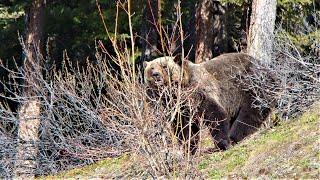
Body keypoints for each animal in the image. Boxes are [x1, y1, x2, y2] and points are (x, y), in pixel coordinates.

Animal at [144, 52, 272, 153]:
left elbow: (215, 114)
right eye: (151, 68)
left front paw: (223, 143)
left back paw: (234, 137)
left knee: (251, 111)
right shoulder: (176, 105)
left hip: (250, 84)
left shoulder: (199, 91)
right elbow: (183, 126)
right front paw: (188, 148)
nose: (156, 75)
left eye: (164, 66)